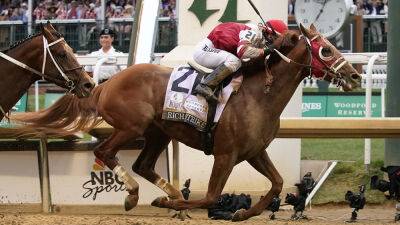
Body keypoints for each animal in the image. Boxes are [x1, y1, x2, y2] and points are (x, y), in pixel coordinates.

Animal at [14, 23, 360, 221]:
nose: (355, 75)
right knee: (106, 152)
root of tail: (104, 83)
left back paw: (168, 194)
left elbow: (275, 183)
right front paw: (168, 204)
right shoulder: (226, 154)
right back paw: (137, 195)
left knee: (142, 165)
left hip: (158, 133)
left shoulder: (254, 151)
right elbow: (210, 196)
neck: (259, 94)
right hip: (132, 127)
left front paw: (243, 212)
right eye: (326, 50)